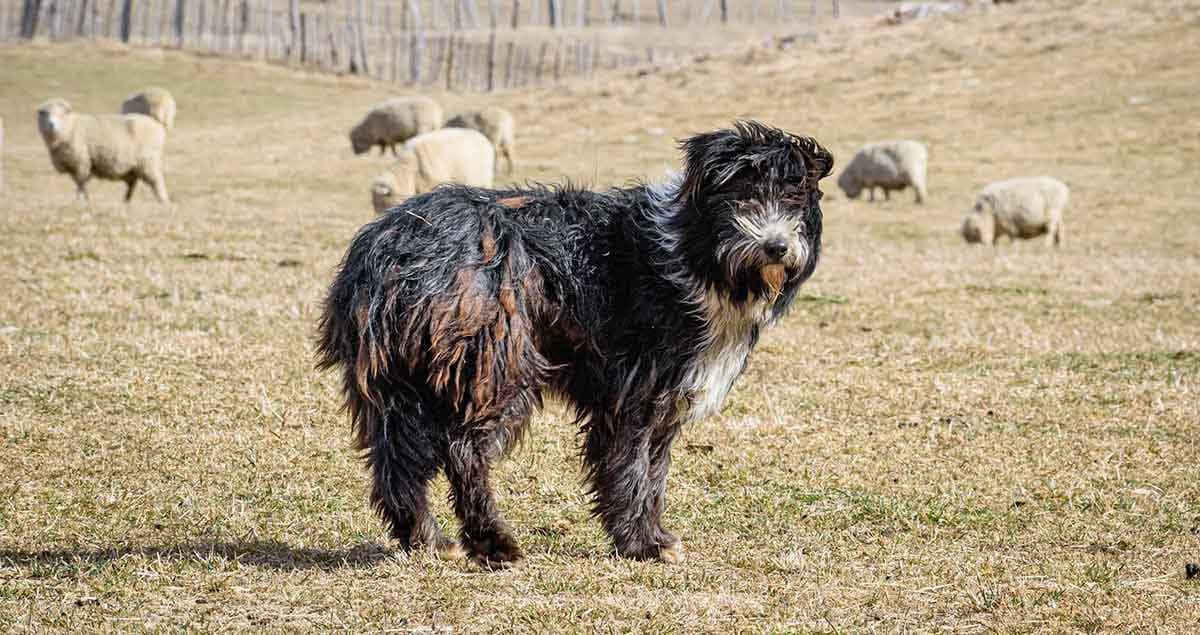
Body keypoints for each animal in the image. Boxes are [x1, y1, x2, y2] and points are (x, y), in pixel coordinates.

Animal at [36, 97, 171, 204]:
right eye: (46, 114)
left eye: (61, 114)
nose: (52, 124)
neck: (71, 127)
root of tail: (157, 125)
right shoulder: (74, 167)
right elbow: (81, 184)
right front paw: (85, 200)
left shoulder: (81, 162)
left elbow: (80, 183)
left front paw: (79, 200)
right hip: (134, 166)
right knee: (132, 184)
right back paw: (126, 201)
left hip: (149, 161)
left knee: (157, 182)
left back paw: (163, 201)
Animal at [319, 121, 835, 566]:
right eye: (744, 196)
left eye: (793, 198)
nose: (776, 247)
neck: (694, 256)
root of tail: (388, 246)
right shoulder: (634, 390)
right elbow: (631, 468)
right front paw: (642, 543)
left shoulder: (665, 397)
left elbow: (655, 471)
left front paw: (651, 536)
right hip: (496, 365)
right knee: (465, 452)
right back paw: (493, 542)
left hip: (400, 378)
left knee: (396, 461)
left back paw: (426, 538)